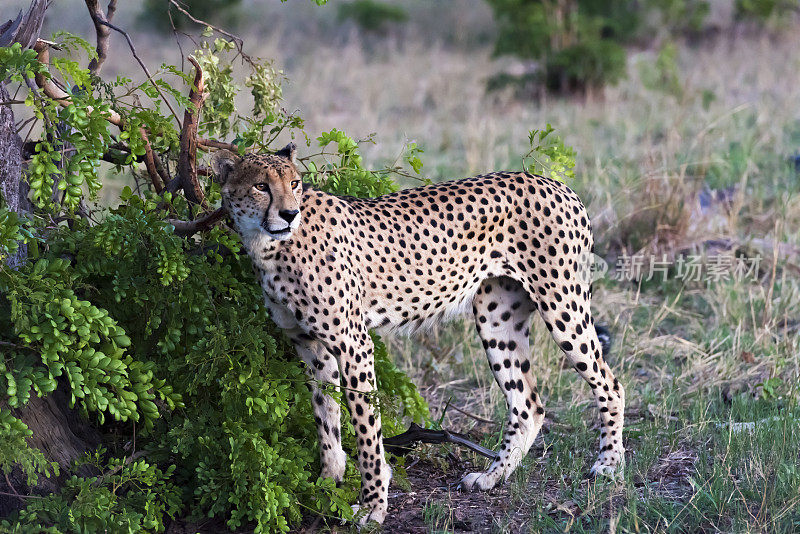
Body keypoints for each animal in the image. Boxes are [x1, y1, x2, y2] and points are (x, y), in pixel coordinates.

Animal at [212, 144, 624, 524]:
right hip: (497, 318)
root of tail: (553, 183)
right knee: (528, 405)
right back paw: (492, 477)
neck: (268, 246)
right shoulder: (310, 346)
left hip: (562, 304)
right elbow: (326, 422)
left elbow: (366, 431)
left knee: (610, 383)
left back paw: (609, 464)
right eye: (261, 186)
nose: (289, 213)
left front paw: (373, 505)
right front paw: (329, 483)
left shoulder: (353, 344)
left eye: (294, 184)